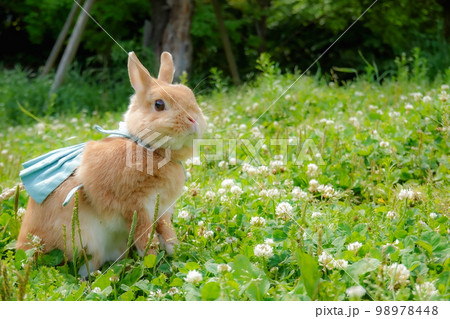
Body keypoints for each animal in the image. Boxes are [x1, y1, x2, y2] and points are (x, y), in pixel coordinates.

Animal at [16, 51, 207, 276]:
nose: (194, 120)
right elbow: (145, 238)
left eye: (189, 94)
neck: (148, 148)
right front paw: (152, 261)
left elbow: (167, 232)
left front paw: (173, 251)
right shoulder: (137, 207)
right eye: (159, 104)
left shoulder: (161, 210)